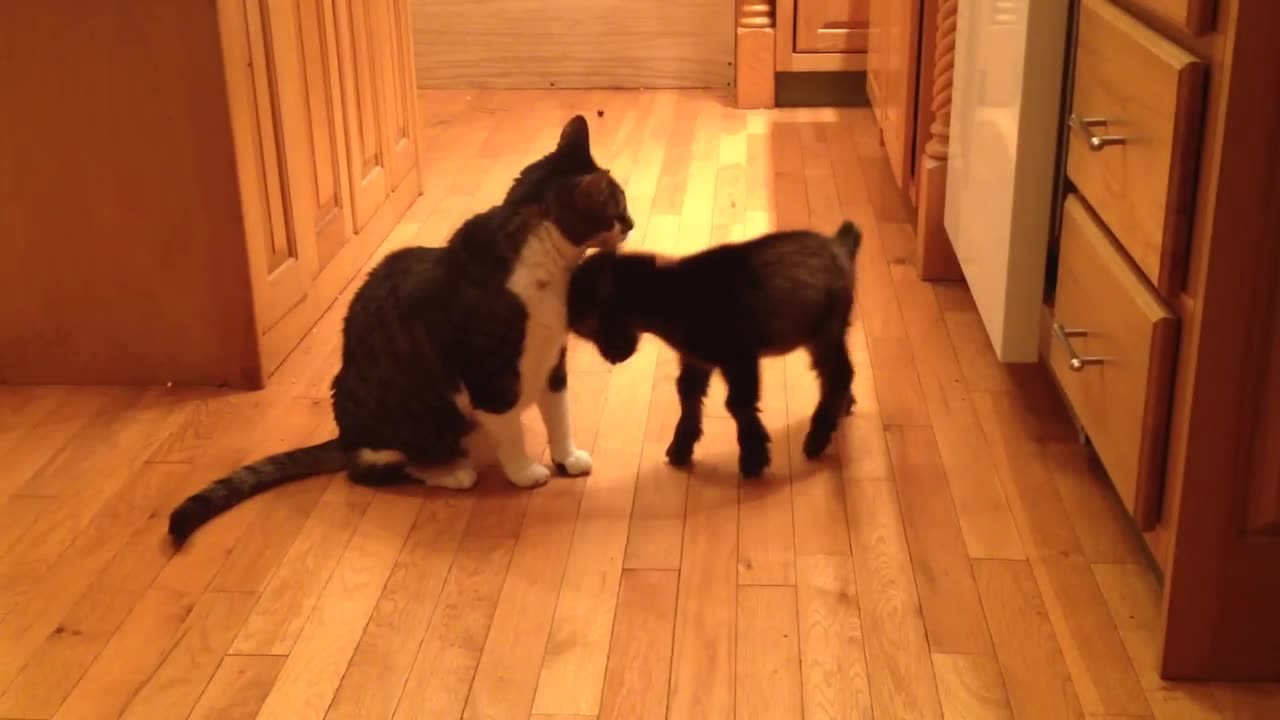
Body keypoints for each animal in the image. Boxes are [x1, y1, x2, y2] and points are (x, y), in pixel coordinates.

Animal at [168, 114, 629, 545]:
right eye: (618, 206)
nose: (634, 223)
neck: (548, 269)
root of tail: (345, 437)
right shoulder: (488, 374)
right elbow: (511, 430)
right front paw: (524, 472)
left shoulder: (551, 359)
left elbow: (559, 413)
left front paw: (568, 459)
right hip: (405, 422)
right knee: (379, 467)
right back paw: (452, 472)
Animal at [568, 219, 860, 476]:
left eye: (591, 325)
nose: (611, 357)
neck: (668, 294)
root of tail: (839, 245)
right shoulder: (697, 359)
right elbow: (687, 393)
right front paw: (681, 446)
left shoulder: (739, 356)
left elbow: (738, 403)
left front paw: (754, 457)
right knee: (839, 375)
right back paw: (843, 408)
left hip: (825, 331)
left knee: (839, 374)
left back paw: (817, 438)